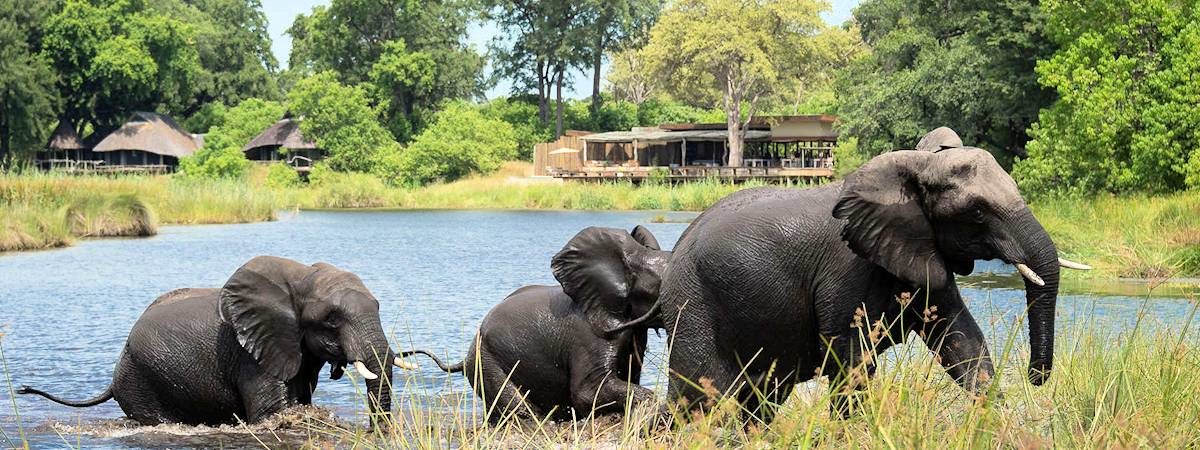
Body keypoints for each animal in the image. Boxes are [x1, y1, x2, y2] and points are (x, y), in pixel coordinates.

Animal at [17, 256, 412, 427]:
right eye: (331, 319)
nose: (375, 432)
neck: (299, 276)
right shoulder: (249, 354)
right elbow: (272, 412)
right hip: (140, 381)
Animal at [400, 226, 667, 424]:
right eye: (660, 288)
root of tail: (464, 358)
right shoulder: (592, 335)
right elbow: (587, 393)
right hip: (487, 362)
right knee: (519, 409)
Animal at [662, 128, 1094, 424]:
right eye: (976, 212)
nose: (1035, 377)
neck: (916, 166)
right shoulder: (846, 266)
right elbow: (851, 357)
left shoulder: (922, 250)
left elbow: (962, 340)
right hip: (692, 306)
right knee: (699, 400)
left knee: (757, 403)